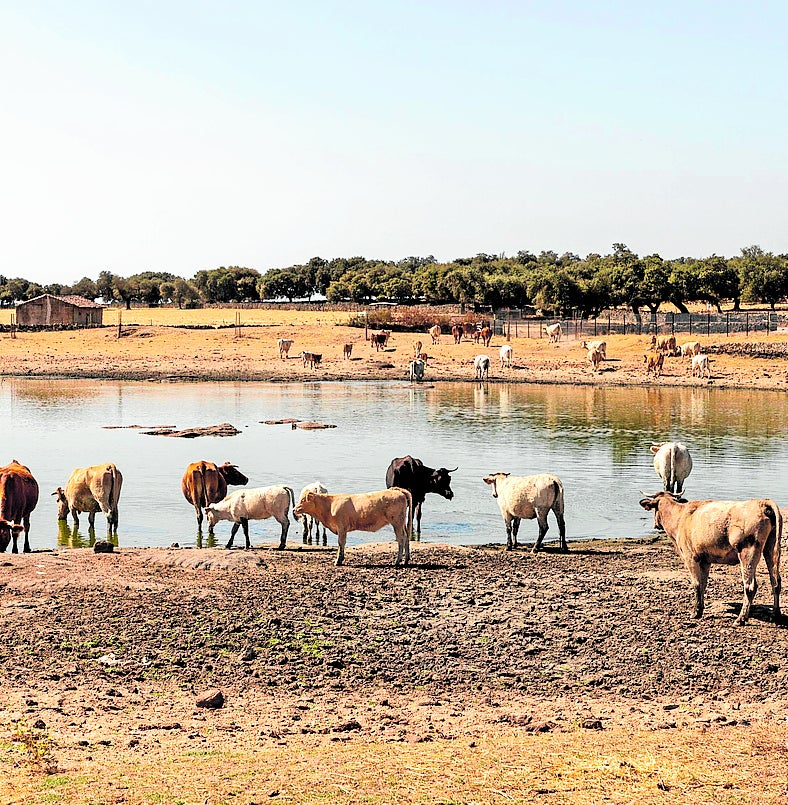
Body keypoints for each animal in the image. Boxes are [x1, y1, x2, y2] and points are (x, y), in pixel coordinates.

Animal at [640, 490, 780, 628]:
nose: (656, 525)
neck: (681, 517)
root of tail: (761, 503)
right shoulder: (705, 561)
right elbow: (703, 584)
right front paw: (700, 609)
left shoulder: (691, 557)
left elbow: (696, 584)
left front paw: (696, 612)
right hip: (770, 548)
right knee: (776, 582)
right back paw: (775, 615)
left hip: (747, 552)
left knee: (750, 586)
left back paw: (741, 619)